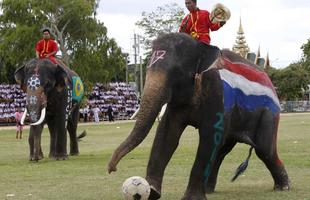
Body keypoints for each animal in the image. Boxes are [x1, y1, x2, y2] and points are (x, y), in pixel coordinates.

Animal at [107, 33, 290, 199]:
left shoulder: (217, 91)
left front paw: (191, 198)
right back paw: (209, 190)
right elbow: (167, 134)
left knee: (264, 149)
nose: (111, 169)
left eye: (177, 71)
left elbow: (209, 136)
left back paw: (283, 187)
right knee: (222, 149)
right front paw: (152, 192)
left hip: (269, 113)